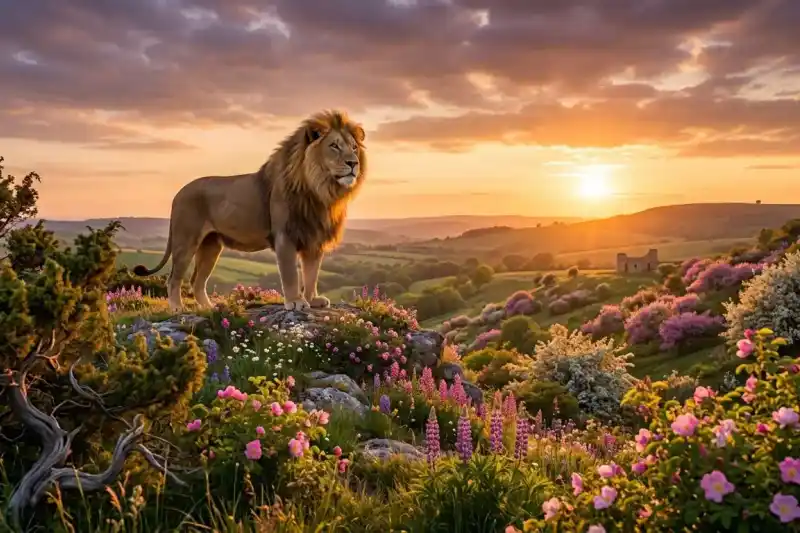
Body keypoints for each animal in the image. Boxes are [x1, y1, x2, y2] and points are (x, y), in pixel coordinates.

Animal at [132, 109, 367, 312]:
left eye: (354, 148)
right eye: (334, 146)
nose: (353, 163)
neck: (320, 190)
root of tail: (178, 193)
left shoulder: (314, 238)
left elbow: (311, 274)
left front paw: (312, 299)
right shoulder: (285, 236)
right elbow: (291, 274)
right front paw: (295, 302)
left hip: (211, 246)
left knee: (197, 281)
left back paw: (210, 308)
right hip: (186, 240)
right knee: (174, 278)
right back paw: (177, 308)